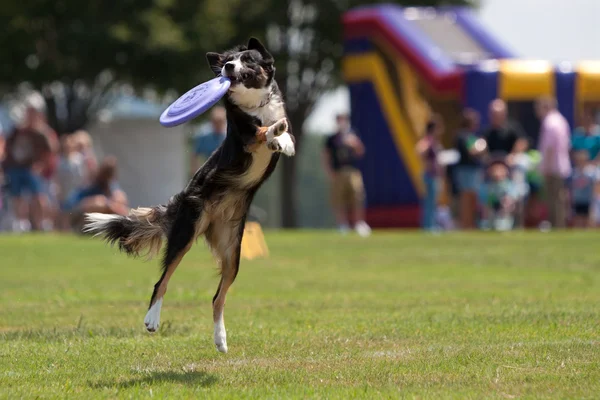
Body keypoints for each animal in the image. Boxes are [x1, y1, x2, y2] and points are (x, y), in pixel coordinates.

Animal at [82, 38, 296, 354]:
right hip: (186, 231)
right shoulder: (245, 136)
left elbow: (285, 132)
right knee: (162, 282)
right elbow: (261, 131)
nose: (228, 67)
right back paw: (152, 320)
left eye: (247, 59)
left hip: (233, 252)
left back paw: (221, 339)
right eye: (228, 61)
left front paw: (284, 139)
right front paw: (274, 132)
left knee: (217, 297)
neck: (255, 102)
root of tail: (183, 198)